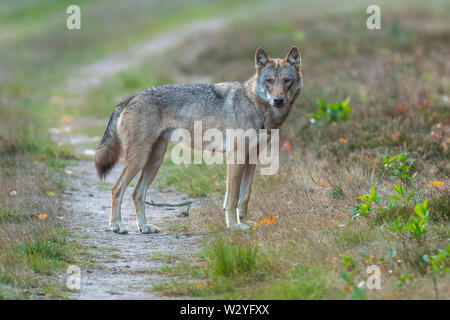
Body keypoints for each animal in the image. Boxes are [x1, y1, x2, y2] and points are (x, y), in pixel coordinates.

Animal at [96, 47, 304, 232]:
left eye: (287, 81)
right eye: (269, 81)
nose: (278, 100)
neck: (257, 106)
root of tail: (130, 96)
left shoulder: (251, 159)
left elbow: (244, 196)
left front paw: (246, 223)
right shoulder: (236, 158)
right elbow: (232, 198)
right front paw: (234, 226)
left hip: (154, 161)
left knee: (136, 193)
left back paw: (145, 228)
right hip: (139, 159)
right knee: (116, 189)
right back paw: (117, 226)